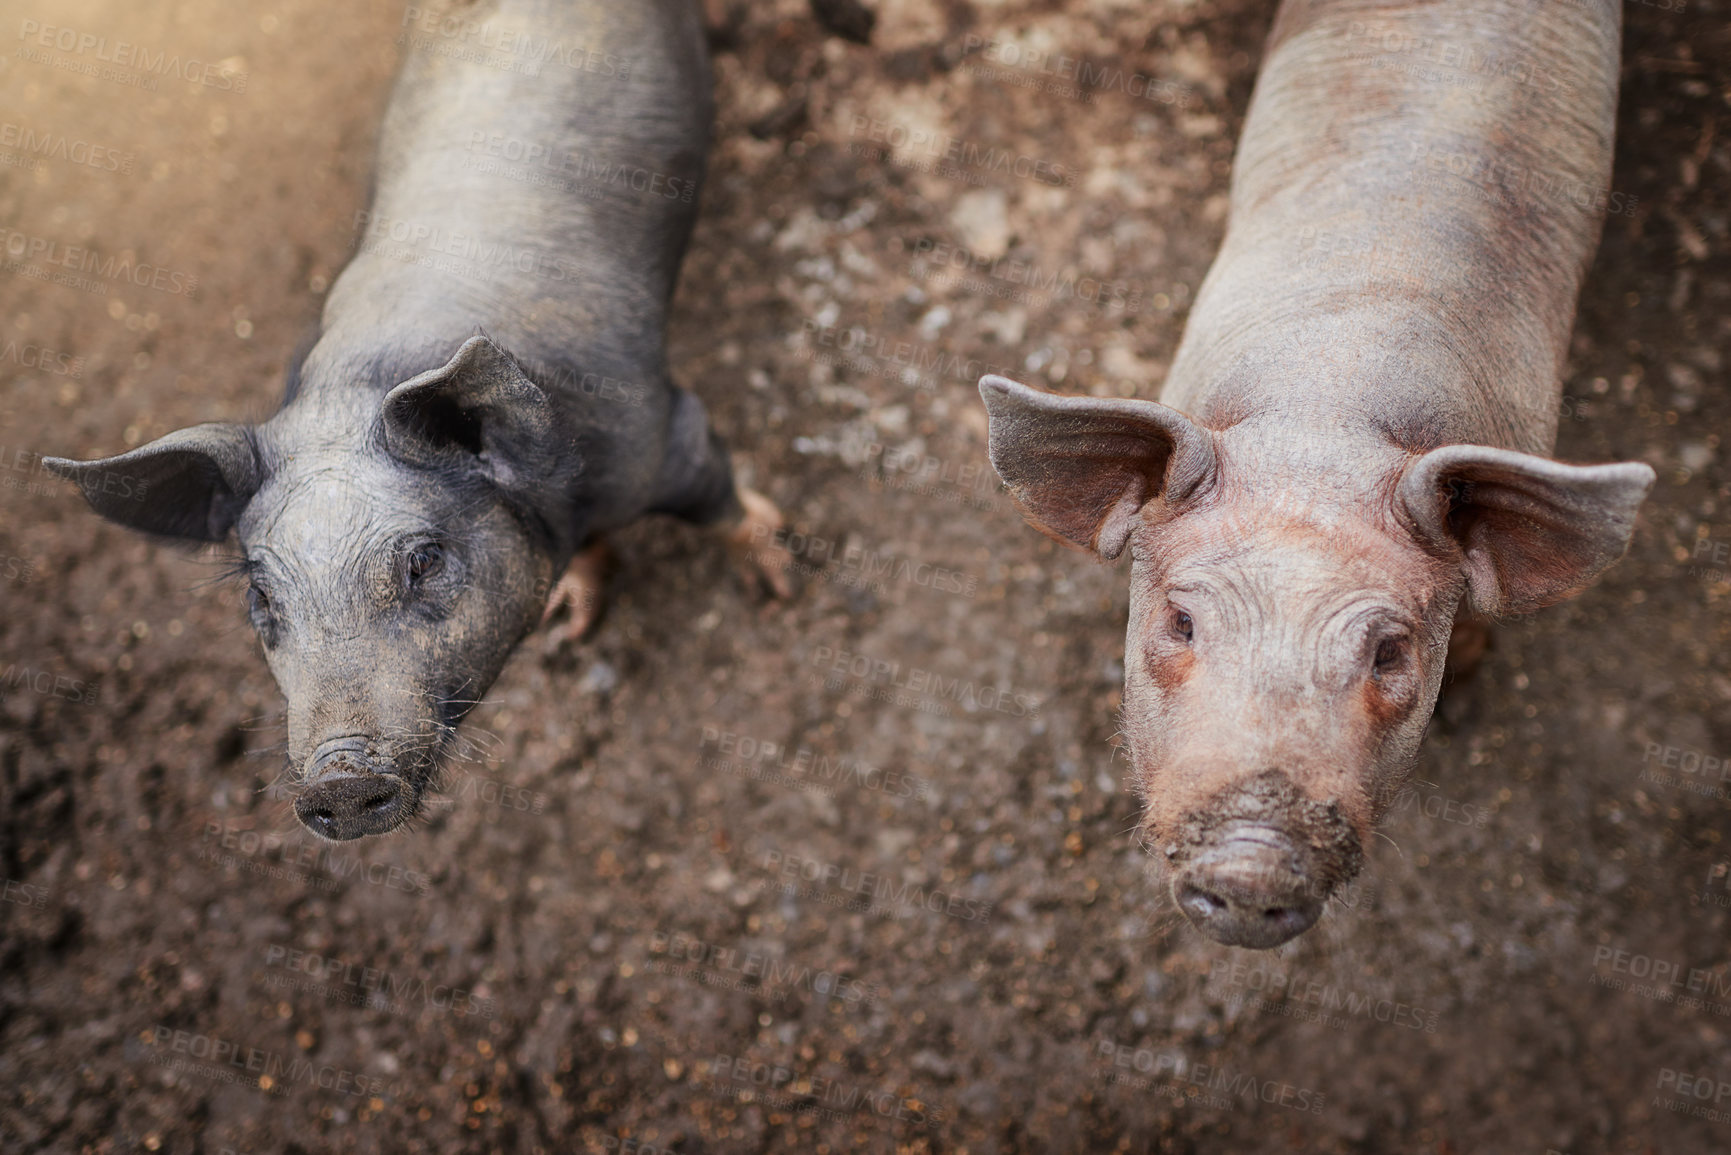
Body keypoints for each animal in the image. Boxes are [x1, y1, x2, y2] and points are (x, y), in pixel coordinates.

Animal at [47, 0, 789, 841]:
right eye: (261, 599)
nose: (338, 781)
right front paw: (572, 625)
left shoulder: (664, 433)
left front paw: (775, 584)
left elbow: (720, 500)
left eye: (424, 561)